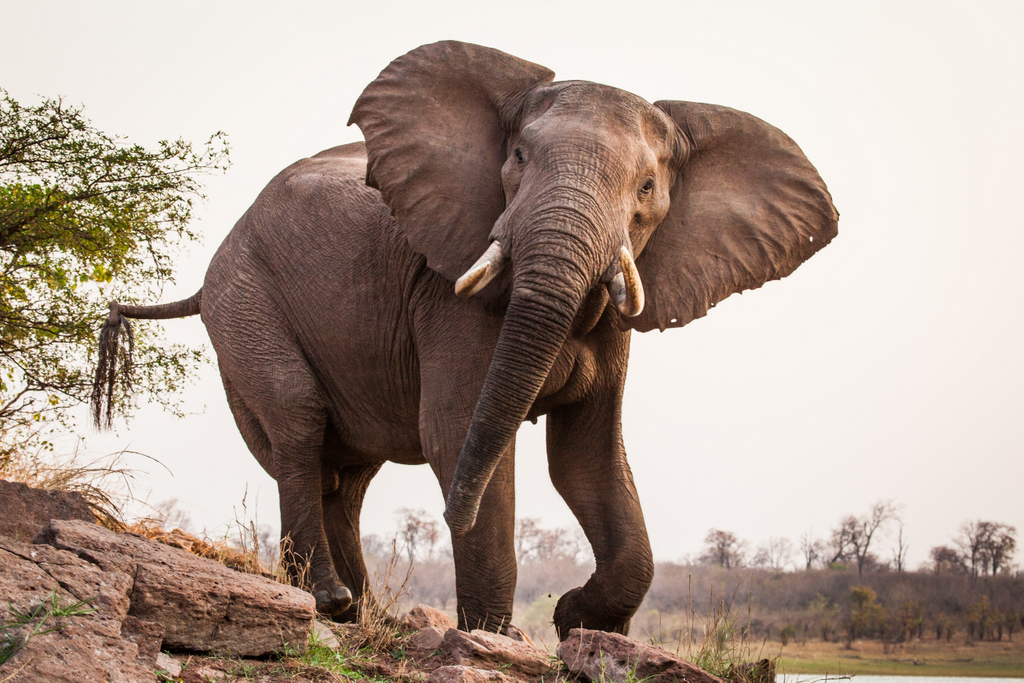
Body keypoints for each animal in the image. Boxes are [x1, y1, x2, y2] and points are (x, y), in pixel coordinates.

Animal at [92, 41, 835, 643]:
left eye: (648, 188)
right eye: (517, 158)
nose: (446, 513)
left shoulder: (614, 322)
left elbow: (587, 458)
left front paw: (580, 622)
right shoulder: (449, 298)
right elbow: (454, 433)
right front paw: (498, 636)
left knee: (346, 472)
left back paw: (361, 611)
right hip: (244, 302)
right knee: (299, 423)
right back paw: (331, 601)